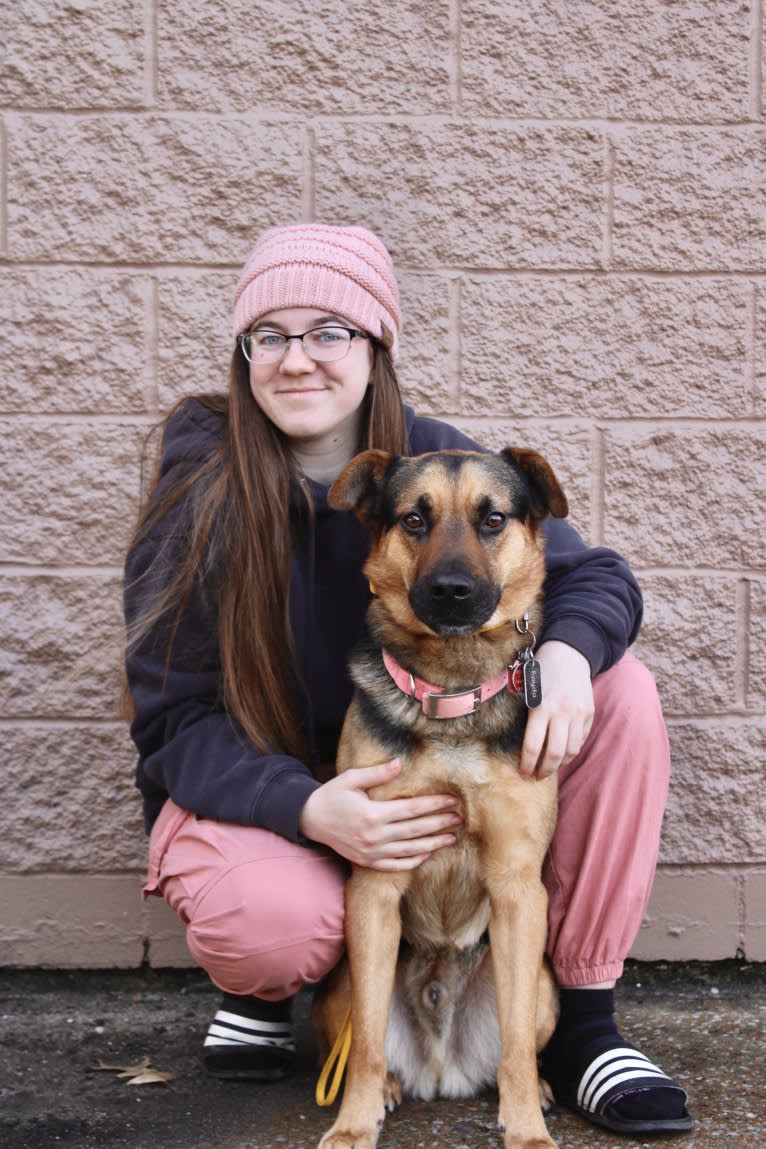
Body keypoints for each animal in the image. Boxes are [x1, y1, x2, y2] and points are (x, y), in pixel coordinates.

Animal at [316, 445, 569, 1149]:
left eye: (493, 518)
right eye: (414, 519)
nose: (452, 591)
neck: (452, 696)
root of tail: (441, 1065)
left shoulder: (517, 889)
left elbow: (516, 1048)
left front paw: (527, 1130)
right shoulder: (374, 888)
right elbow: (366, 1046)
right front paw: (354, 1125)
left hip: (542, 982)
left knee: (519, 1043)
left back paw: (539, 1089)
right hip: (341, 984)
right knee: (368, 1041)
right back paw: (389, 1088)